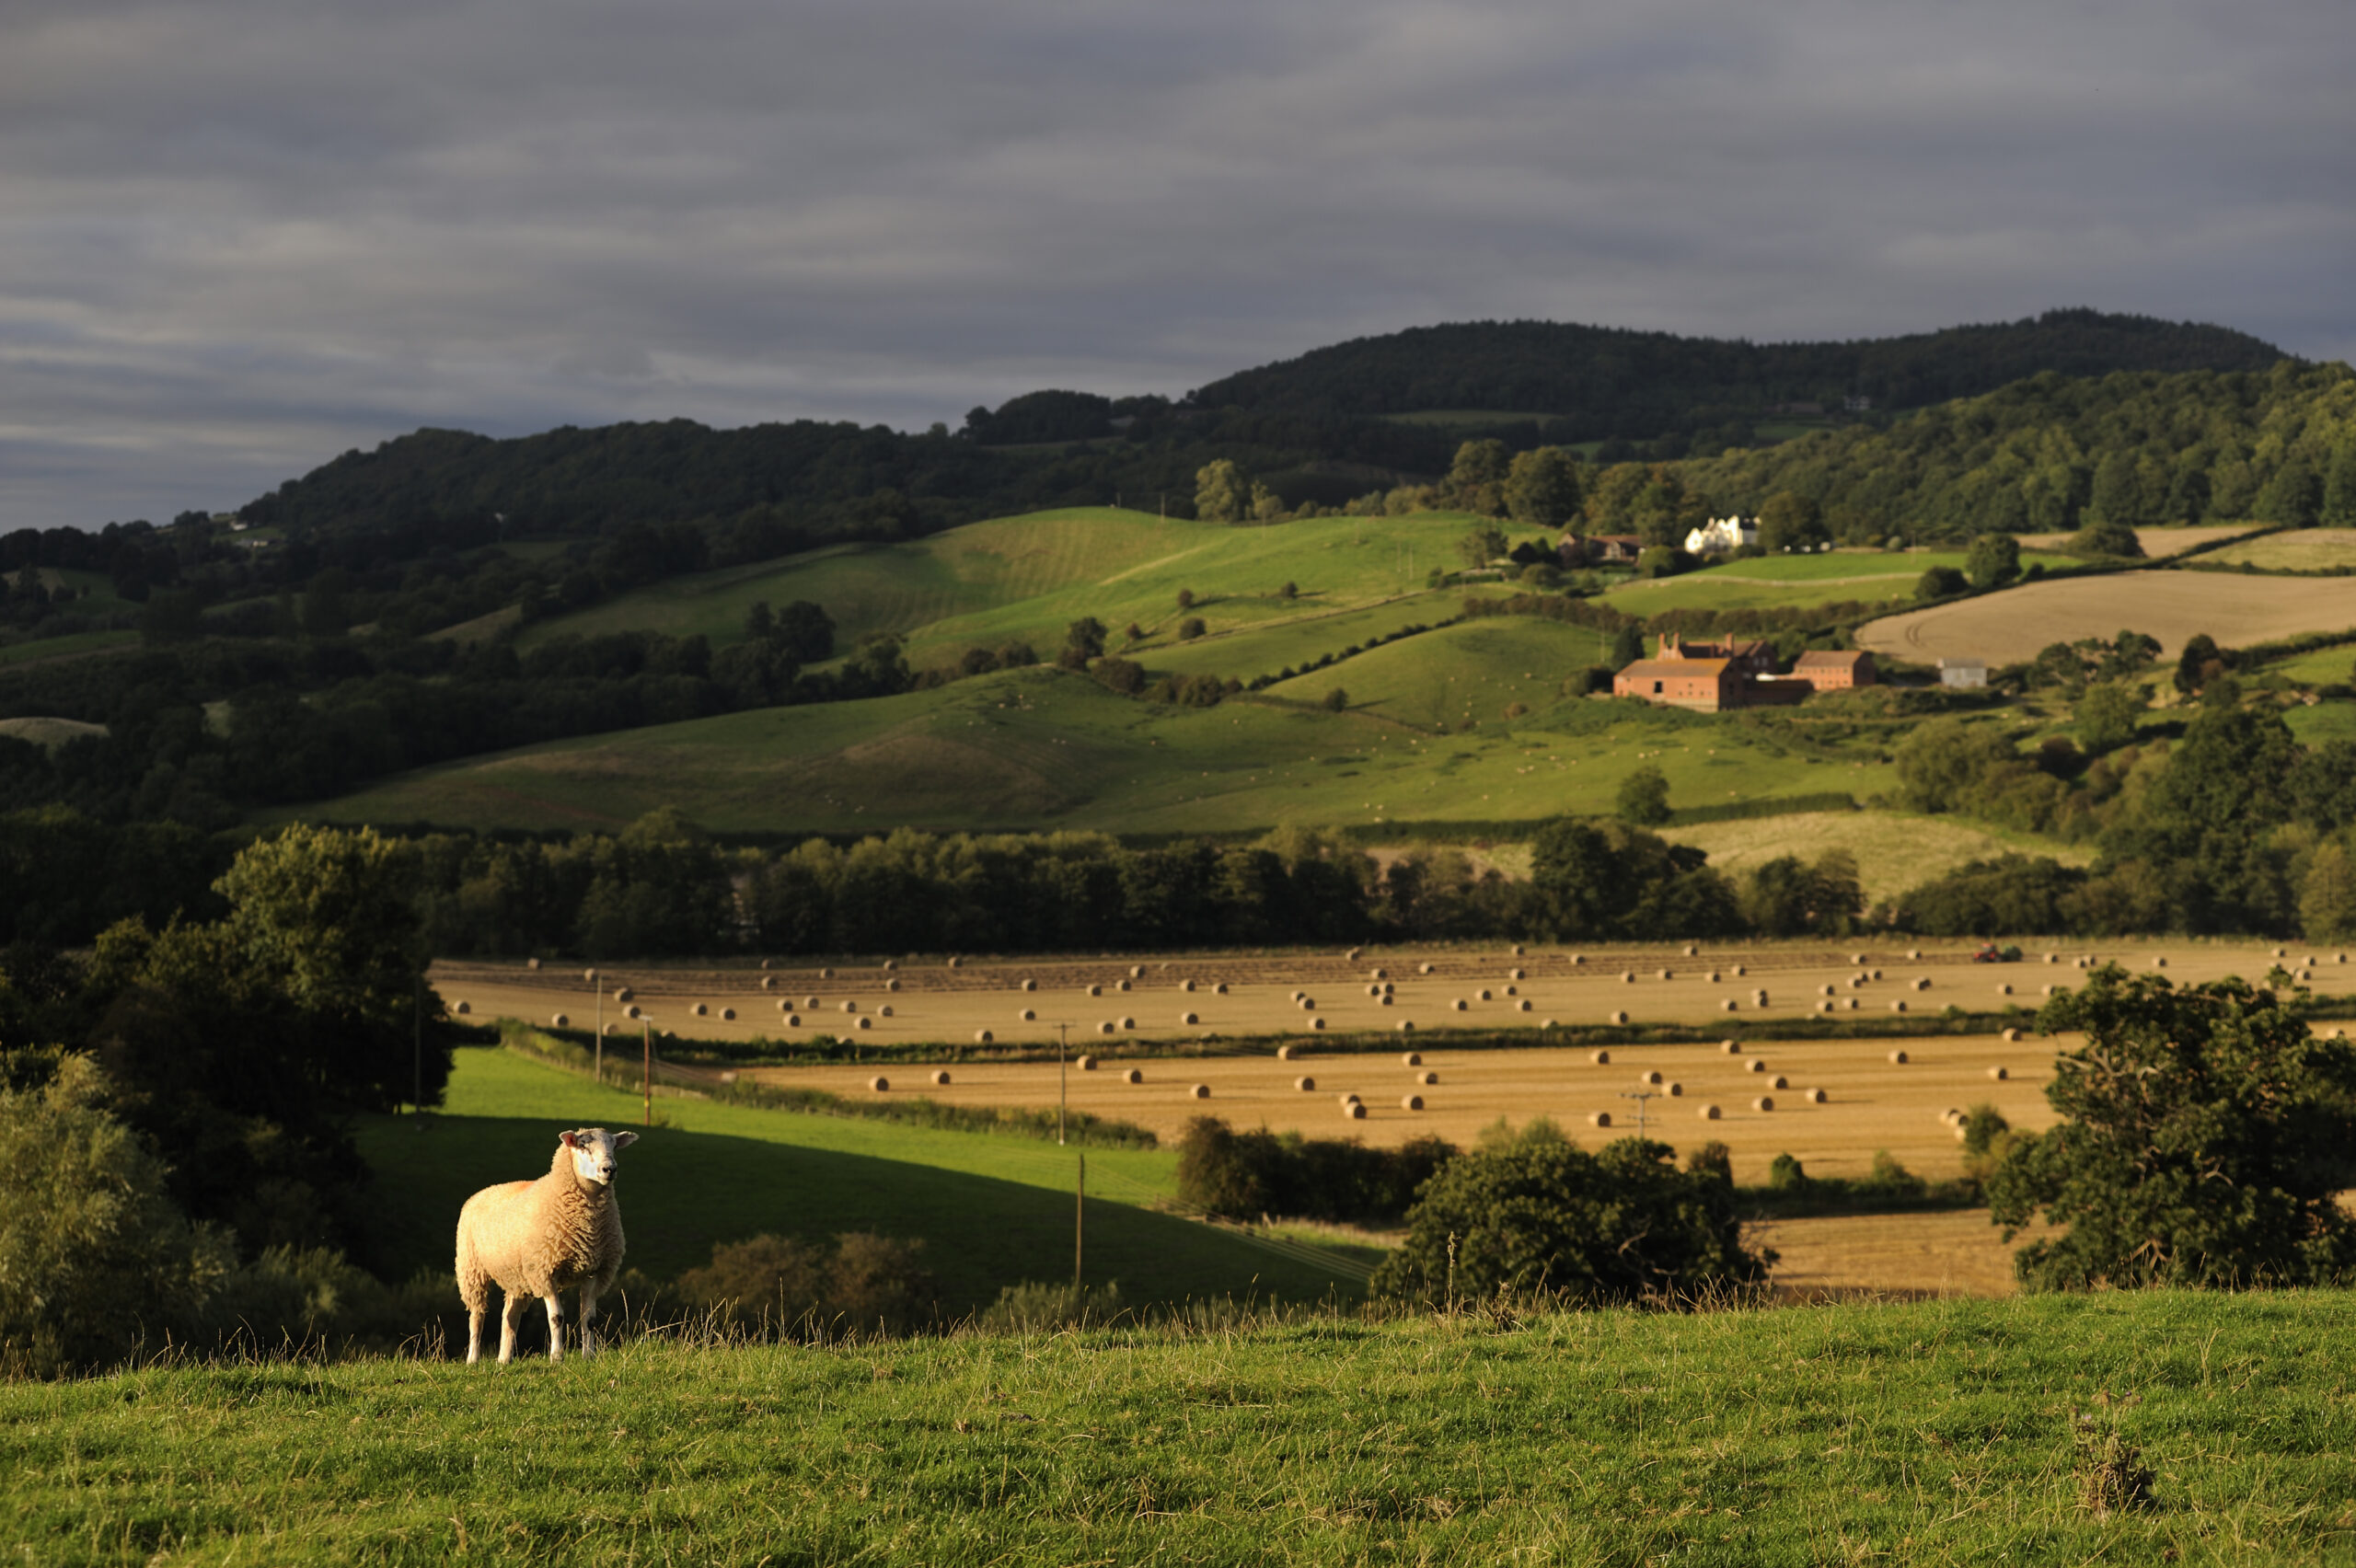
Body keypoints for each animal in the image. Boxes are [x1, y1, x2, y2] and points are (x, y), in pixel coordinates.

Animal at [447, 1124, 636, 1355]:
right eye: (582, 1146)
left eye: (614, 1146)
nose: (610, 1169)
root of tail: (482, 1192)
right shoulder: (544, 1270)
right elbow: (556, 1317)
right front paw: (557, 1356)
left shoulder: (595, 1270)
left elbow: (589, 1320)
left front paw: (589, 1356)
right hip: (471, 1269)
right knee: (477, 1317)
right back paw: (473, 1358)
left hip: (515, 1275)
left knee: (509, 1317)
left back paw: (504, 1358)